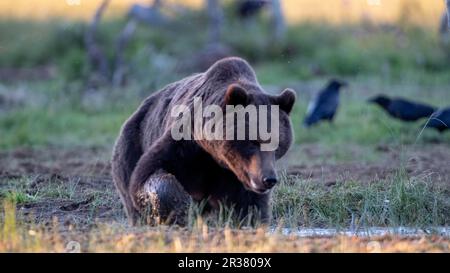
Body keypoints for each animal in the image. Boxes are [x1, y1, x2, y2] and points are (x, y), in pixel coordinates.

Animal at [112, 56, 296, 224]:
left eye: (278, 144)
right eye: (252, 141)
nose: (268, 179)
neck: (214, 156)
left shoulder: (234, 176)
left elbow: (249, 206)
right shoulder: (185, 144)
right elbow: (149, 173)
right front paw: (180, 209)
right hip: (131, 143)